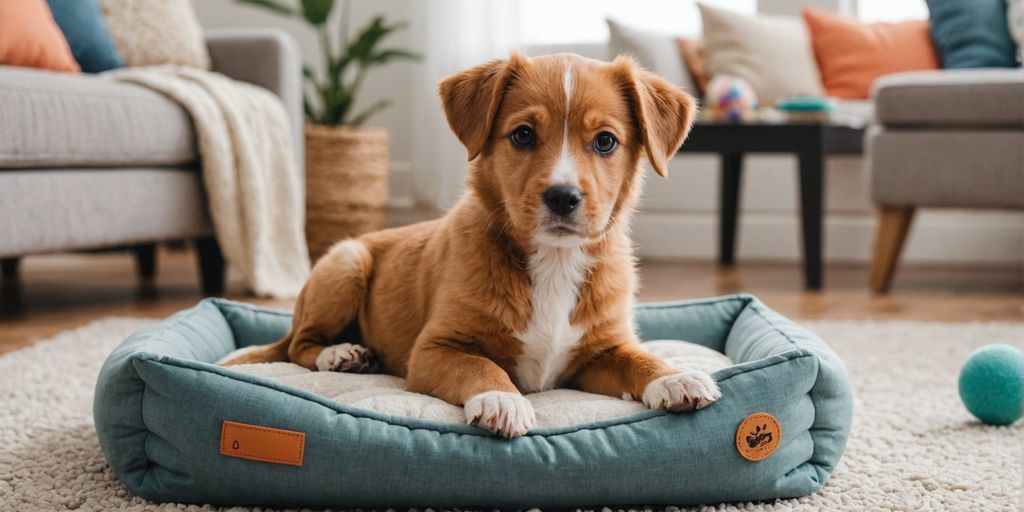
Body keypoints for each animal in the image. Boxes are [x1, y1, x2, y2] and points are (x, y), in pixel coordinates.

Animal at [224, 50, 720, 436]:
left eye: (605, 141)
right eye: (523, 134)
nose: (562, 197)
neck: (555, 261)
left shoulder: (601, 352)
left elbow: (639, 359)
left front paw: (675, 378)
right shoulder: (435, 349)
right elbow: (483, 366)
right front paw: (502, 400)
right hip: (344, 263)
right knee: (297, 346)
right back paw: (341, 354)